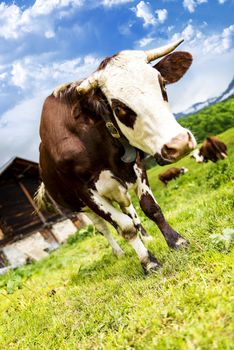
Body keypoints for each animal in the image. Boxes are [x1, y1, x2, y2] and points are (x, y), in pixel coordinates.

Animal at [37, 38, 197, 274]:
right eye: (119, 107)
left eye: (162, 85)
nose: (179, 144)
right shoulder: (85, 192)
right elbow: (124, 227)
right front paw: (148, 262)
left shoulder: (137, 166)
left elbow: (151, 209)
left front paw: (176, 240)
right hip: (81, 209)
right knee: (104, 228)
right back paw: (119, 252)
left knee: (130, 210)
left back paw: (146, 237)